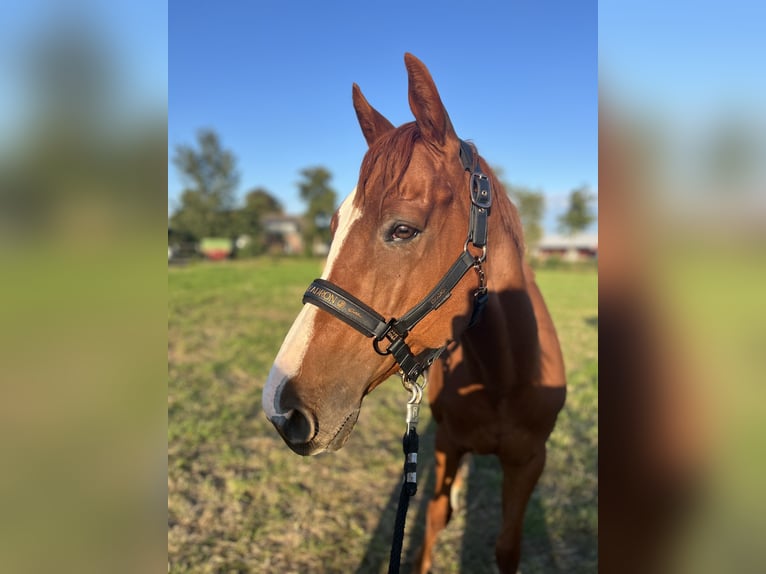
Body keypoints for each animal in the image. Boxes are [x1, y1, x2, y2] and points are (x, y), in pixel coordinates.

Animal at [264, 53, 568, 572]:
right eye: (334, 225)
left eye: (403, 229)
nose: (282, 409)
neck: (503, 377)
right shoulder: (447, 444)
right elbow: (433, 518)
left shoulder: (529, 462)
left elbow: (507, 546)